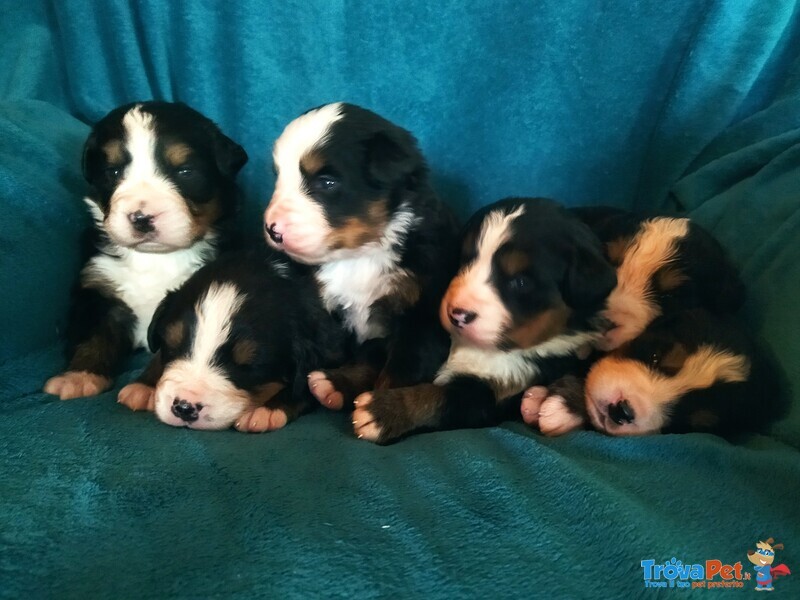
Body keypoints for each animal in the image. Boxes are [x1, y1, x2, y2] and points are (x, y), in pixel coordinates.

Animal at [40, 102, 245, 404]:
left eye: (185, 172)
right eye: (113, 172)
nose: (142, 218)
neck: (156, 259)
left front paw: (146, 389)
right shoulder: (98, 288)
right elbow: (92, 334)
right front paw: (79, 377)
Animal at [145, 250, 350, 432]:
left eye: (249, 366)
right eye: (172, 345)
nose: (185, 407)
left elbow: (303, 384)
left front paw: (266, 411)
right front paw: (144, 386)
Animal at [264, 103, 460, 412]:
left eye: (327, 182)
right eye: (279, 177)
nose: (272, 229)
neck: (361, 254)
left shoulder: (420, 318)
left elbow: (399, 371)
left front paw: (380, 409)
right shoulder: (325, 312)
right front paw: (273, 407)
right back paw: (331, 384)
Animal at [350, 199, 620, 442]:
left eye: (520, 282)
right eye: (463, 261)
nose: (457, 314)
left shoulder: (493, 393)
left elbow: (436, 399)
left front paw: (381, 412)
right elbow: (371, 360)